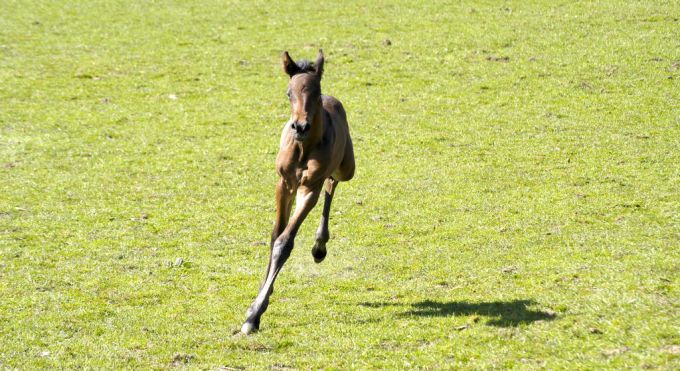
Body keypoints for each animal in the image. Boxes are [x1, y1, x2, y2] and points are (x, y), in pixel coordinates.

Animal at [240, 48, 356, 334]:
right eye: (288, 93)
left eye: (316, 92)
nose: (300, 126)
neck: (303, 149)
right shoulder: (283, 184)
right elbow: (275, 236)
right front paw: (258, 302)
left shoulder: (309, 188)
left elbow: (285, 242)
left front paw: (253, 316)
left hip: (347, 168)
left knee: (332, 182)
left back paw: (319, 246)